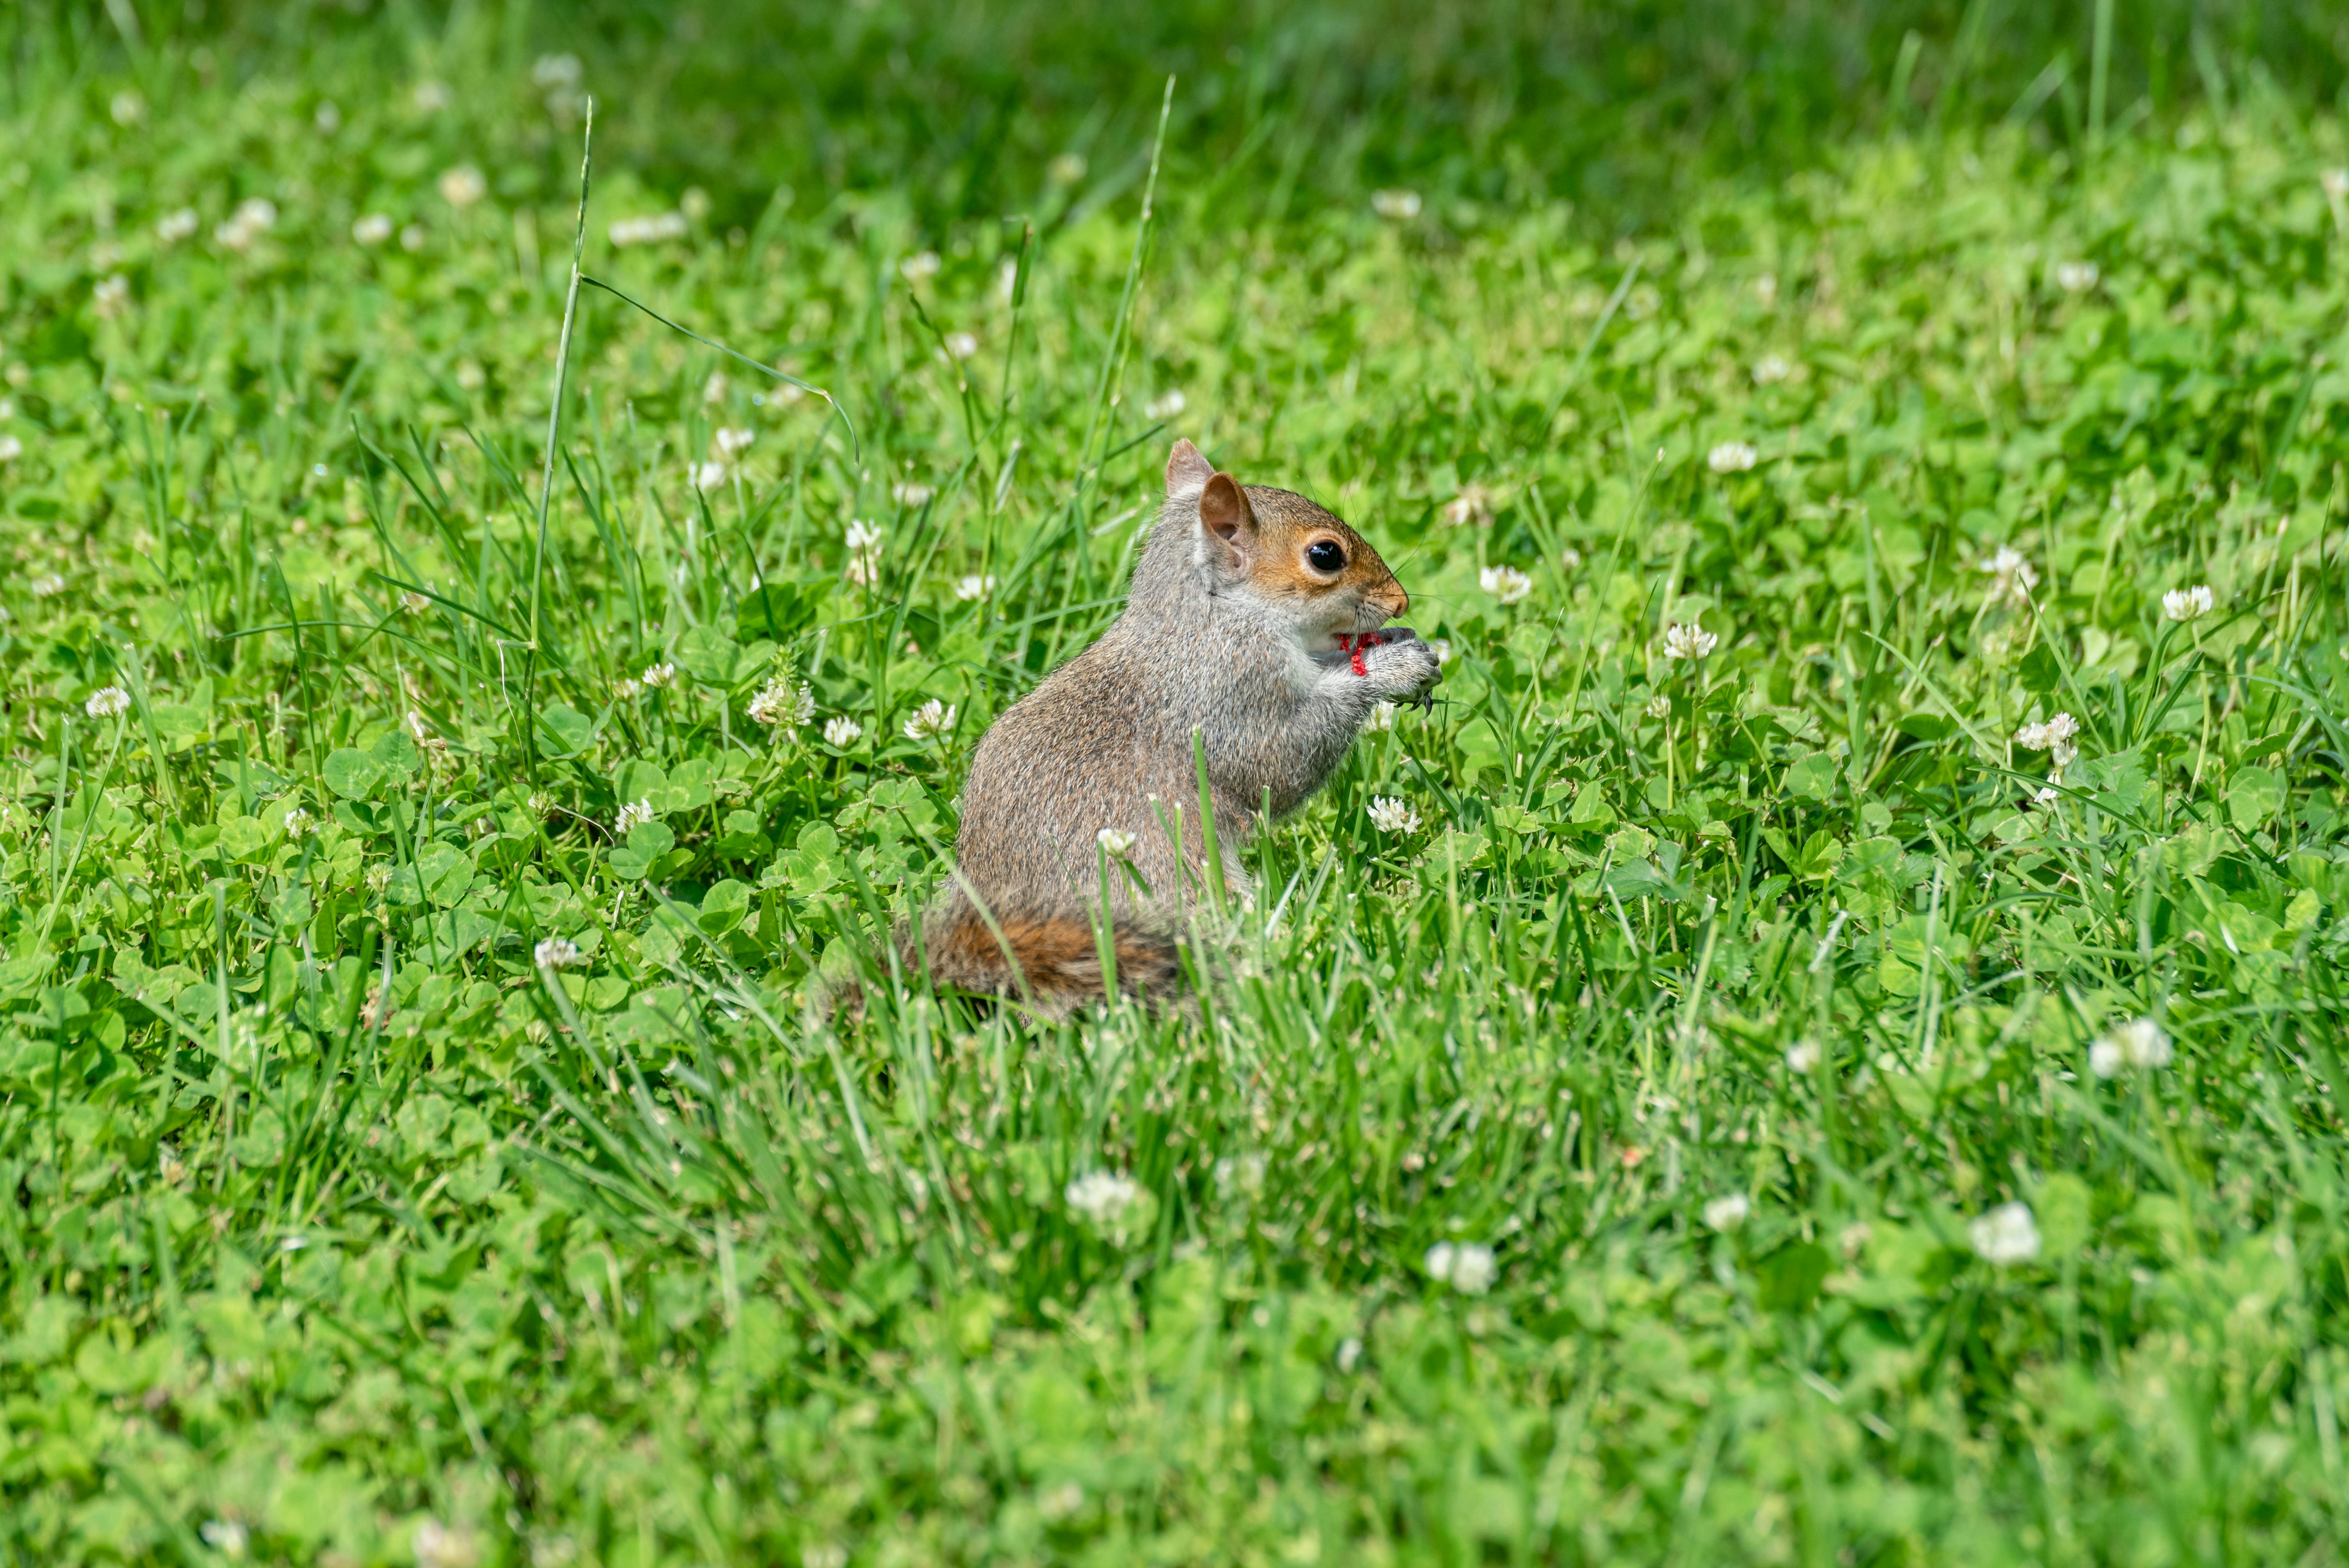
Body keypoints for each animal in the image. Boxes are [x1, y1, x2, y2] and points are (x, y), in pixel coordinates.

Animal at [909, 437, 1441, 1015]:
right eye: (1325, 555)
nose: (1399, 601)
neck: (1210, 615)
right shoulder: (1231, 690)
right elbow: (1278, 766)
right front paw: (1393, 668)